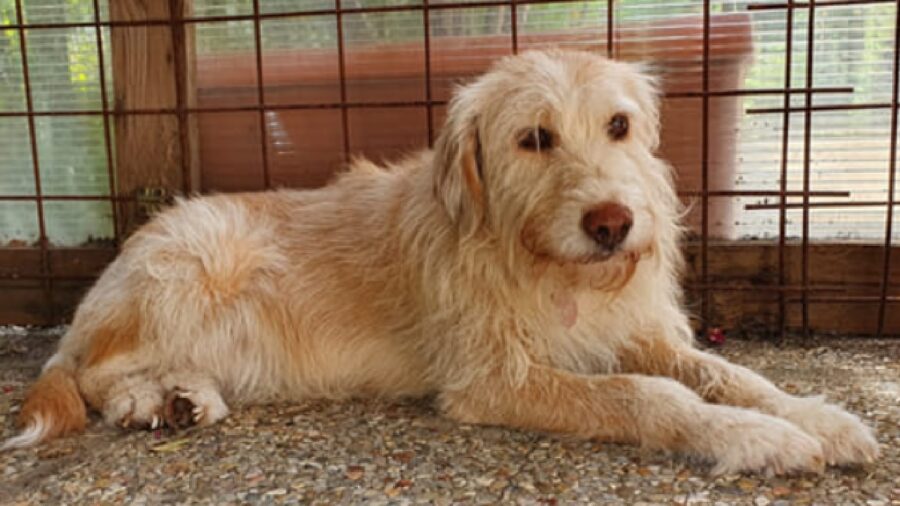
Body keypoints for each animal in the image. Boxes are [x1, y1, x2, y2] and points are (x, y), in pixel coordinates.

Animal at [0, 50, 880, 474]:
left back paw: (186, 397)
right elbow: (650, 395)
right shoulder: (496, 380)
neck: (542, 263)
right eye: (534, 138)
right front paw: (755, 439)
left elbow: (729, 373)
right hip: (202, 256)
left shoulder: (638, 332)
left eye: (620, 126)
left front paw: (815, 415)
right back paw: (145, 398)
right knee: (89, 370)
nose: (613, 224)